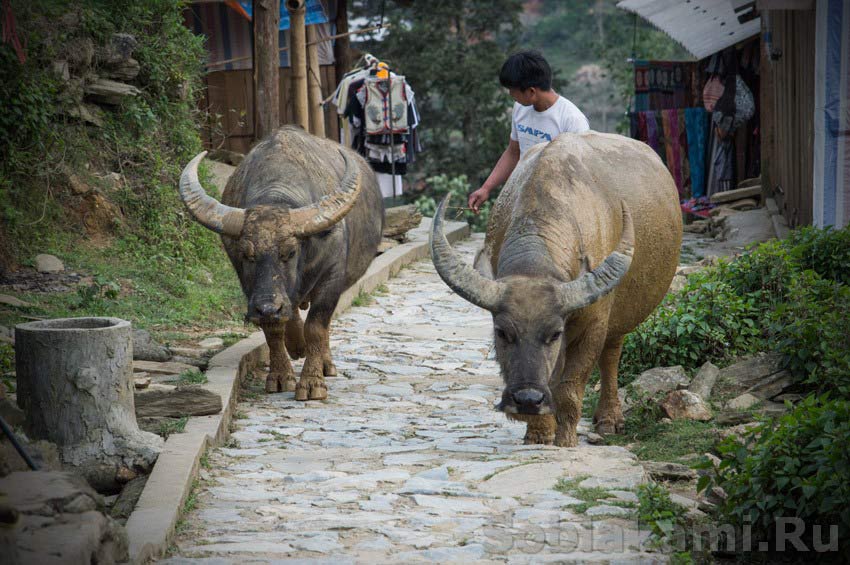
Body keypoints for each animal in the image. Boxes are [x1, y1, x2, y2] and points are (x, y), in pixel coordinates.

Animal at [181, 126, 382, 400]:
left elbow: (316, 326)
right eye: (247, 254)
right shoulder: (253, 290)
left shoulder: (332, 276)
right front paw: (280, 375)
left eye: (290, 252)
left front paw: (312, 383)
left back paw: (325, 364)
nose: (268, 307)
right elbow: (274, 328)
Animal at [428, 131, 680, 446]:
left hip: (621, 318)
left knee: (611, 356)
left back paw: (609, 419)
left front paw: (566, 439)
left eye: (555, 334)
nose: (527, 398)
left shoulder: (593, 326)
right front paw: (538, 433)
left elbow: (570, 388)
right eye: (502, 332)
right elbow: (549, 379)